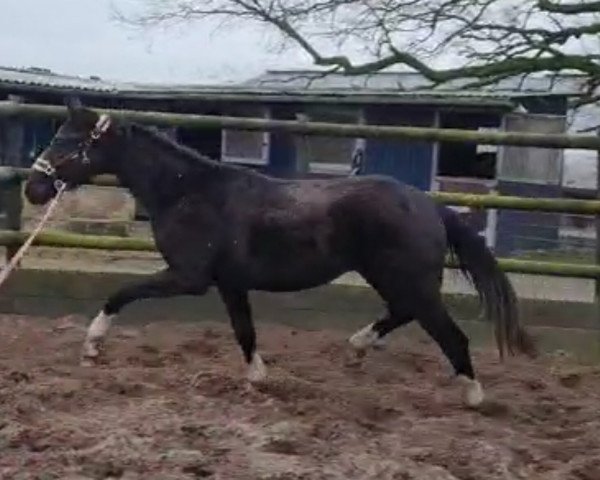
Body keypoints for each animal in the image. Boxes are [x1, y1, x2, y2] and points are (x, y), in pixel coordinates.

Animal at [24, 102, 536, 408]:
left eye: (66, 141)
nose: (34, 189)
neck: (189, 193)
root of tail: (430, 205)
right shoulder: (230, 283)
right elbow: (244, 331)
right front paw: (257, 378)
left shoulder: (188, 277)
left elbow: (122, 292)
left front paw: (92, 346)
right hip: (391, 277)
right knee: (405, 313)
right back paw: (357, 348)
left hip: (403, 277)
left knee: (448, 332)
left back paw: (473, 394)